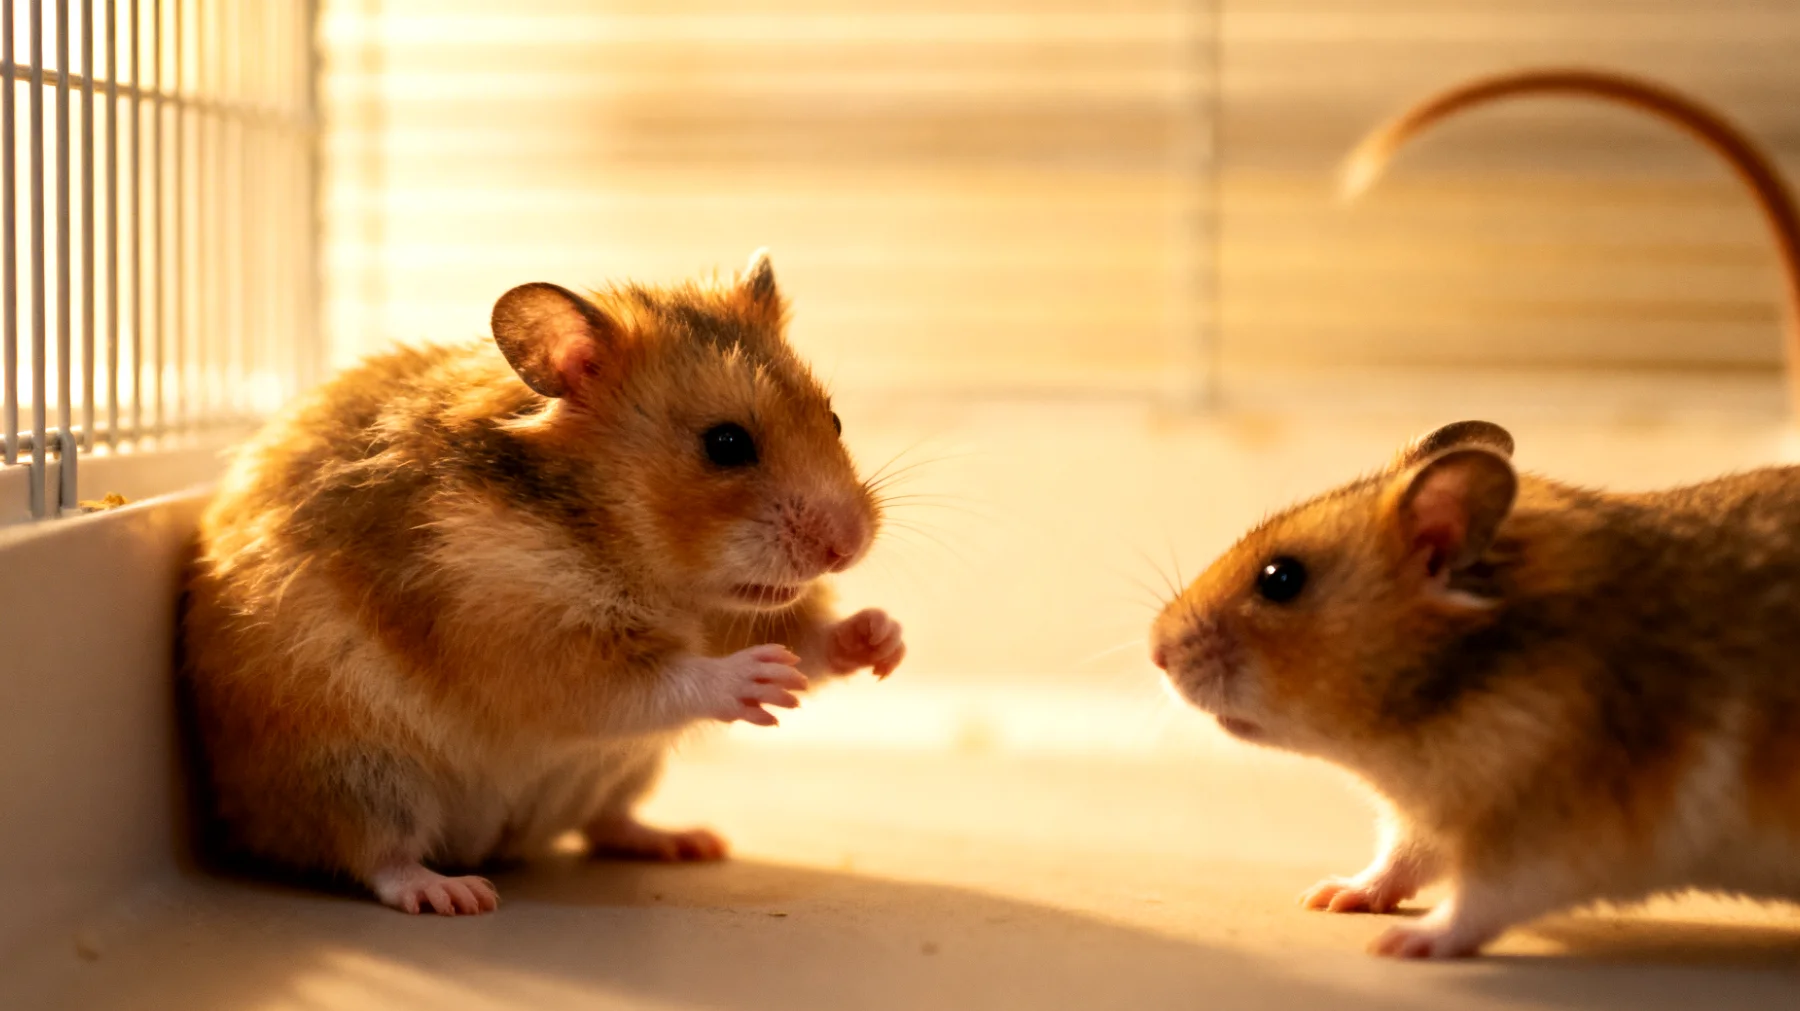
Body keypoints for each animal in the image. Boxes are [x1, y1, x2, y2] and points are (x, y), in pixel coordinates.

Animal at [181, 251, 905, 915]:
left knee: (605, 824)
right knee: (376, 855)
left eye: (835, 420)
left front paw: (884, 641)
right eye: (726, 444)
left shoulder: (744, 614)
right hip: (354, 770)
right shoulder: (532, 642)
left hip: (620, 771)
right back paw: (456, 894)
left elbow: (813, 638)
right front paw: (763, 678)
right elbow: (652, 681)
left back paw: (687, 841)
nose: (850, 545)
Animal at [1151, 420, 1800, 958]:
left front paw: (1402, 943)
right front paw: (1330, 896)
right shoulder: (1431, 811)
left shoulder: (1556, 830)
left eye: (1280, 579)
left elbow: (1480, 899)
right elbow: (1400, 860)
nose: (1156, 651)